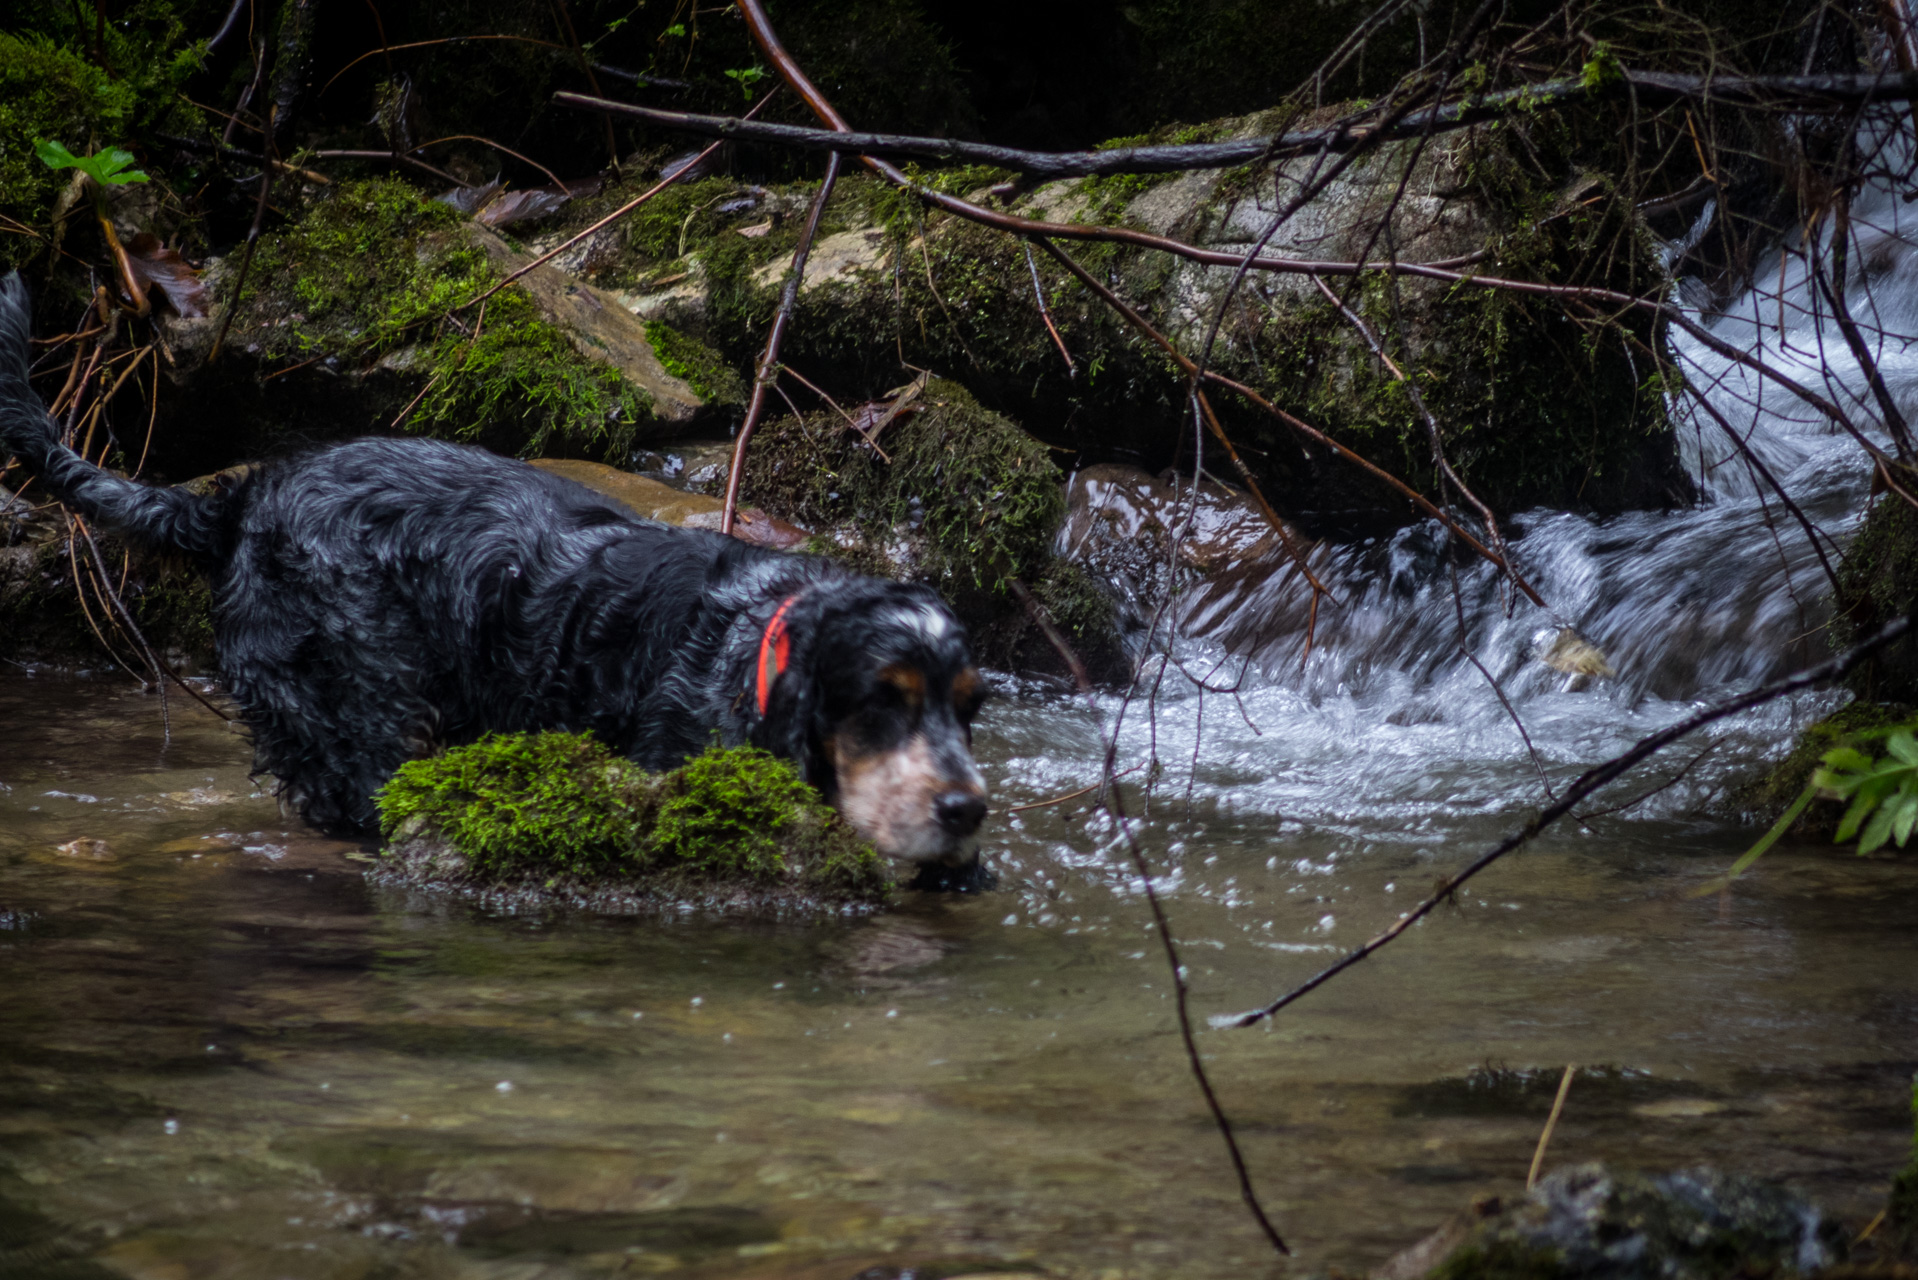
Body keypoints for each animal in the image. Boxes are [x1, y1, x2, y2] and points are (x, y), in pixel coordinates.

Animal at [0, 274, 989, 867]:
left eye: (970, 708)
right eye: (881, 700)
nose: (966, 810)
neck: (757, 642)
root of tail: (241, 502)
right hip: (350, 702)